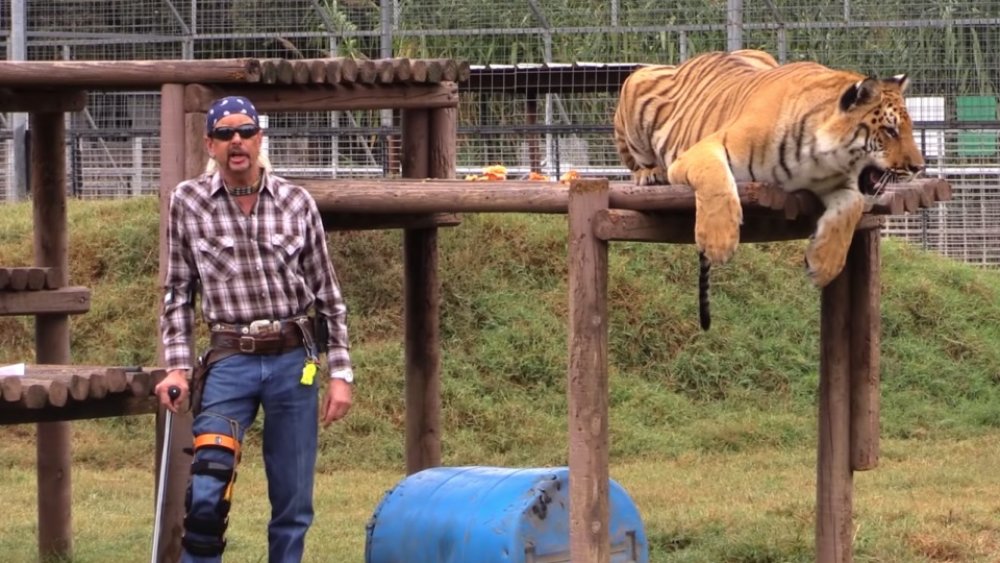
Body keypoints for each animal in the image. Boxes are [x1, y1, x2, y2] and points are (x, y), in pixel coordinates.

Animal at [612, 49, 924, 330]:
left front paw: (823, 266)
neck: (819, 159)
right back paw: (651, 174)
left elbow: (850, 210)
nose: (919, 167)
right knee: (638, 162)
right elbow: (716, 182)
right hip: (635, 83)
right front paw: (718, 244)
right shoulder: (701, 151)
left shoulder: (843, 185)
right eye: (890, 130)